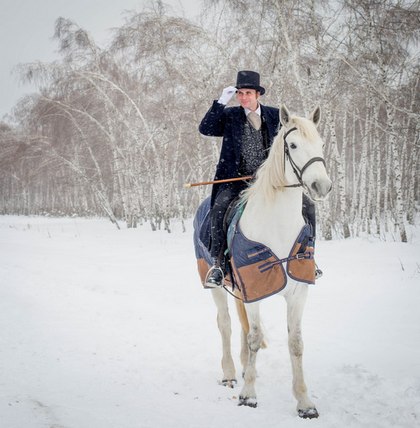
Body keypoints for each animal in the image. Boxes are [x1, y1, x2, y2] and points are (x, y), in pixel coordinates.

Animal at [194, 103, 332, 418]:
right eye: (293, 145)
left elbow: (295, 343)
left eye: (321, 144)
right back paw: (231, 374)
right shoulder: (254, 288)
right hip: (216, 286)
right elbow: (254, 336)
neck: (277, 224)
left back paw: (246, 369)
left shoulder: (297, 292)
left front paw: (304, 403)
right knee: (226, 324)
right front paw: (248, 396)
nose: (321, 186)